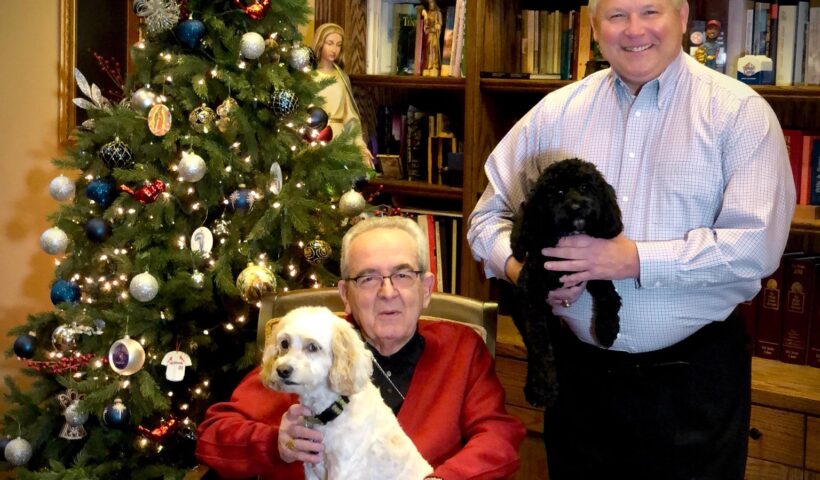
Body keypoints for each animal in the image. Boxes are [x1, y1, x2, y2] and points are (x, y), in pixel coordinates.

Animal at [262, 308, 436, 480]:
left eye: (313, 347)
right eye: (284, 343)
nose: (282, 370)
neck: (331, 410)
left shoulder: (344, 468)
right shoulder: (311, 466)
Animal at [510, 159, 624, 406]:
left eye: (585, 187)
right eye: (558, 192)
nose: (576, 206)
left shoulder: (591, 271)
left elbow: (610, 296)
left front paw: (607, 331)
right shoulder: (531, 297)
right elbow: (540, 346)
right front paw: (545, 388)